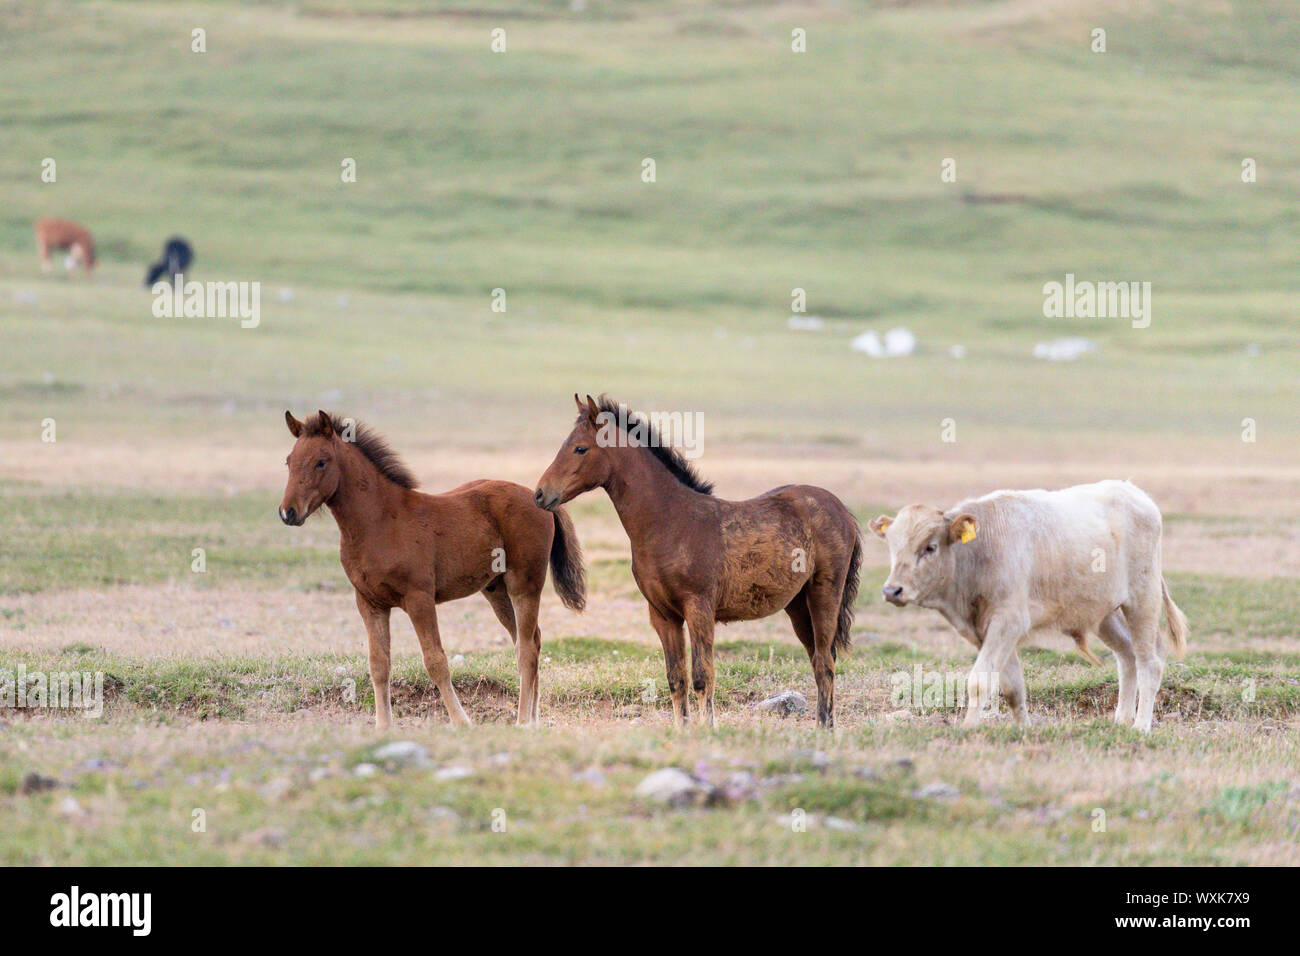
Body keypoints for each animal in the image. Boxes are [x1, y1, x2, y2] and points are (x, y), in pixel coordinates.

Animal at [279, 410, 586, 728]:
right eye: (289, 461)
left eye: (321, 461)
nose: (288, 512)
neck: (378, 522)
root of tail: (538, 497)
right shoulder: (369, 603)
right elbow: (379, 664)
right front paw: (383, 727)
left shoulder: (419, 599)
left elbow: (435, 661)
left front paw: (462, 722)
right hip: (497, 591)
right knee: (531, 641)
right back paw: (533, 720)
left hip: (524, 584)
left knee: (526, 648)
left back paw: (524, 721)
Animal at [534, 395, 861, 728]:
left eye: (580, 448)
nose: (540, 494)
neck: (671, 522)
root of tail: (842, 510)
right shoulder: (662, 615)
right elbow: (676, 678)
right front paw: (683, 730)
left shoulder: (699, 608)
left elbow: (703, 676)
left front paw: (708, 729)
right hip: (797, 604)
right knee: (819, 658)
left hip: (824, 594)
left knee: (825, 662)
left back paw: (824, 728)